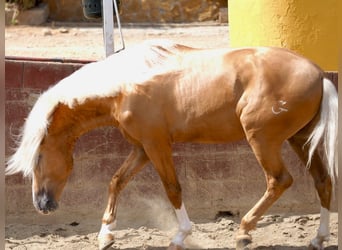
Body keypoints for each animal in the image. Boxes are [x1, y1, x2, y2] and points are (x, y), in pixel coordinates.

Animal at [5, 40, 336, 249]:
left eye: (38, 157)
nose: (42, 205)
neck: (124, 87)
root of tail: (319, 74)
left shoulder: (157, 145)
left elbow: (172, 188)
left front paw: (180, 236)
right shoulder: (141, 148)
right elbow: (116, 182)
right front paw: (106, 236)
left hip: (263, 140)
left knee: (279, 180)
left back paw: (244, 232)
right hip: (299, 139)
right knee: (323, 181)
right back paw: (318, 238)